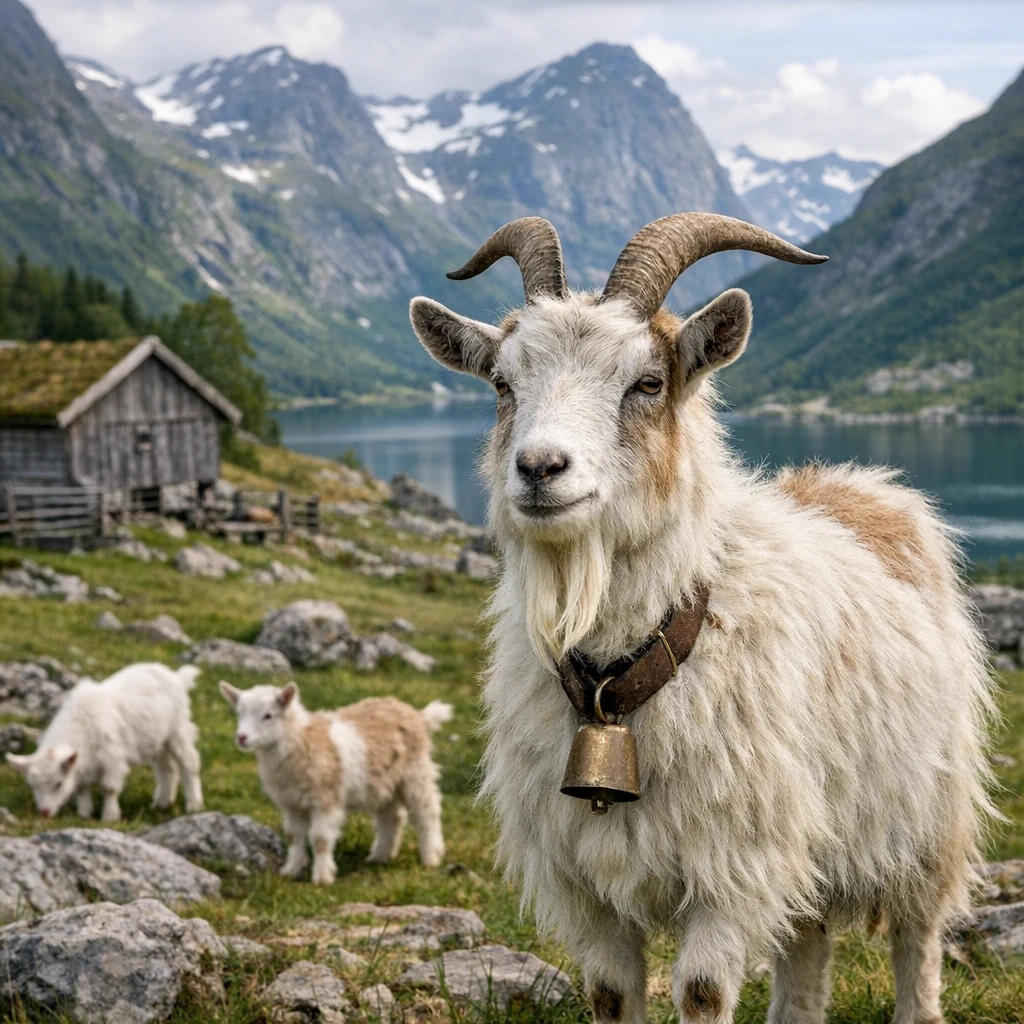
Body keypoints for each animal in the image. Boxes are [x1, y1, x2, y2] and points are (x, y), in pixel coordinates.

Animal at [6, 663, 203, 822]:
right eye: (32, 785)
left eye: (59, 784)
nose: (45, 813)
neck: (82, 723)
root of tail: (178, 677)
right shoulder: (82, 766)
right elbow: (81, 788)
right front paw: (84, 813)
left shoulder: (112, 759)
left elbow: (109, 789)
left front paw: (110, 817)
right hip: (157, 742)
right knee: (168, 769)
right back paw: (162, 803)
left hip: (178, 731)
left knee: (189, 763)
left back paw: (194, 805)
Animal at [219, 681, 451, 884]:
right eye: (239, 713)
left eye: (268, 715)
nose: (242, 737)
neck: (300, 740)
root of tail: (418, 716)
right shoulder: (292, 803)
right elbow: (293, 836)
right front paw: (291, 870)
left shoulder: (325, 798)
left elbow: (320, 839)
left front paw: (322, 877)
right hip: (382, 783)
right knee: (392, 817)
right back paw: (380, 856)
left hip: (415, 772)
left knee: (426, 811)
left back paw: (431, 857)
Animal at [409, 214, 995, 1024]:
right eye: (502, 383)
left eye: (647, 382)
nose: (539, 469)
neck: (624, 676)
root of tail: (860, 486)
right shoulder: (589, 886)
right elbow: (610, 993)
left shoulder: (733, 867)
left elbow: (703, 991)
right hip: (806, 835)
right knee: (806, 941)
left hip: (928, 814)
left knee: (918, 937)